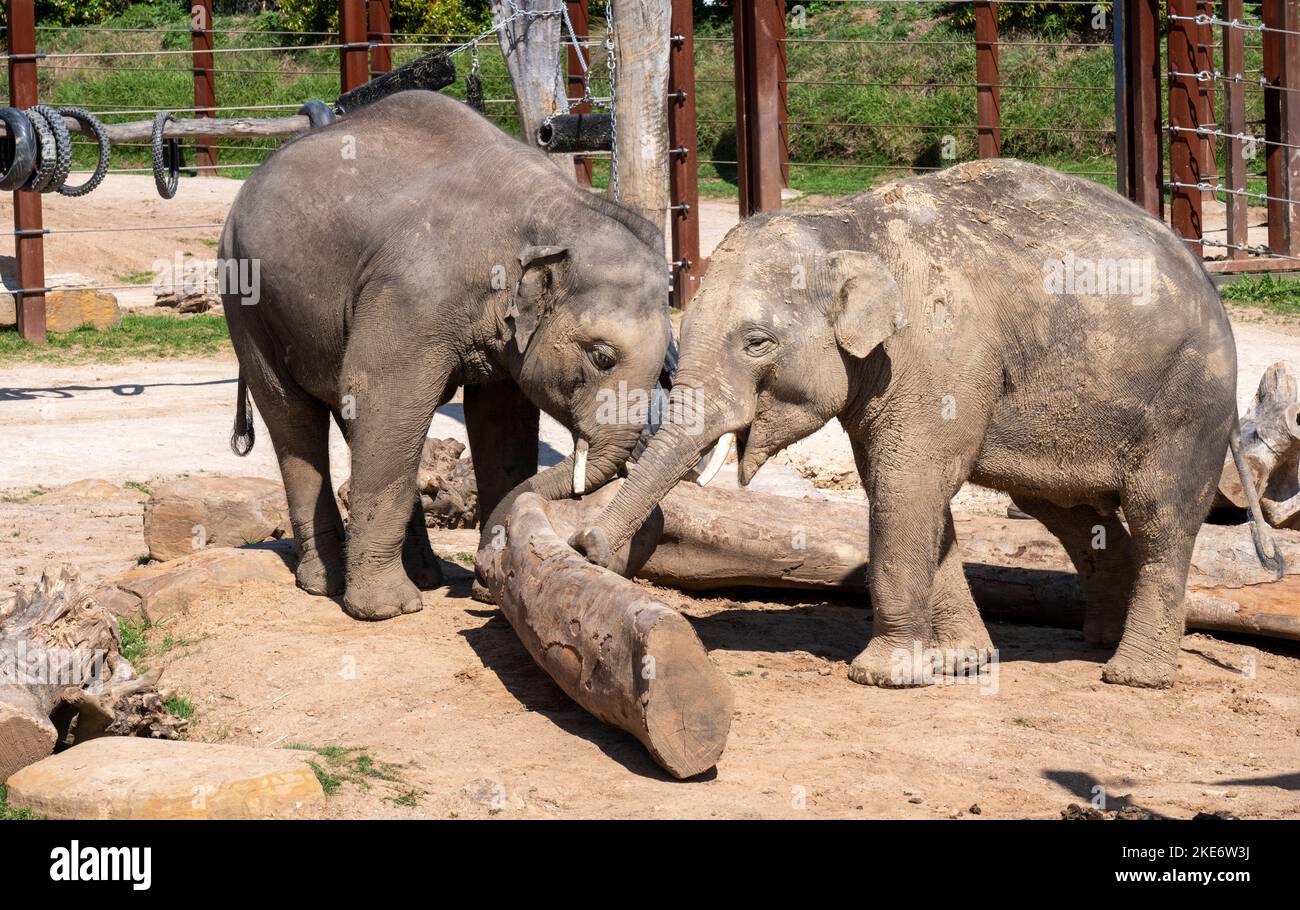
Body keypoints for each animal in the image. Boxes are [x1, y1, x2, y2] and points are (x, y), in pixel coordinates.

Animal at [220, 91, 671, 620]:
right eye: (601, 357)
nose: (588, 545)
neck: (547, 212)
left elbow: (500, 420)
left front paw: (488, 587)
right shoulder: (411, 293)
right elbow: (379, 392)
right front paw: (387, 611)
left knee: (357, 424)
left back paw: (422, 576)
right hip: (246, 299)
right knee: (294, 417)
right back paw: (333, 586)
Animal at [573, 158, 1282, 690]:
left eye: (756, 343)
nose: (590, 547)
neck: (846, 225)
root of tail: (1207, 278)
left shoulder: (936, 356)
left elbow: (905, 486)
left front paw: (884, 675)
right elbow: (915, 492)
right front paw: (961, 663)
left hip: (1188, 403)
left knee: (1161, 514)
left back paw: (1133, 676)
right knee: (1072, 513)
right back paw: (1099, 643)